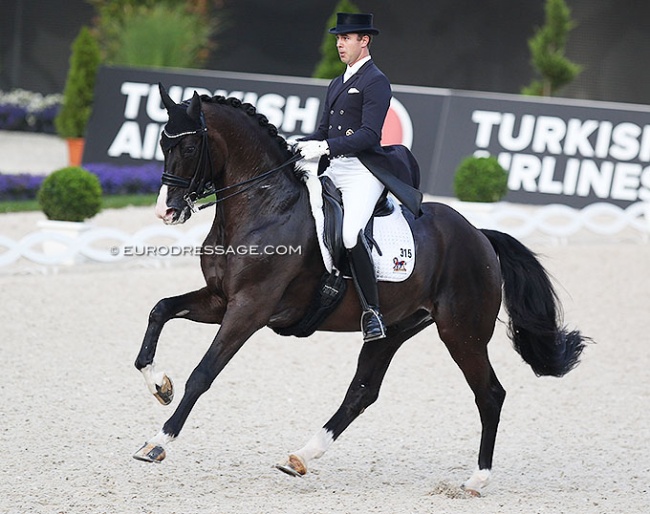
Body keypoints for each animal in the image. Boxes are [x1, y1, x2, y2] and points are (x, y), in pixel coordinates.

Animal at [133, 86, 588, 494]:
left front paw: (157, 442)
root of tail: (479, 235)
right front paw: (159, 386)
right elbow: (159, 310)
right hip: (395, 330)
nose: (167, 211)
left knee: (490, 395)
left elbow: (203, 373)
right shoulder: (220, 299)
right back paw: (299, 457)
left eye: (190, 146)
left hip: (462, 332)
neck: (265, 207)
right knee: (362, 393)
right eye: (162, 143)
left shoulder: (250, 308)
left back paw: (476, 480)